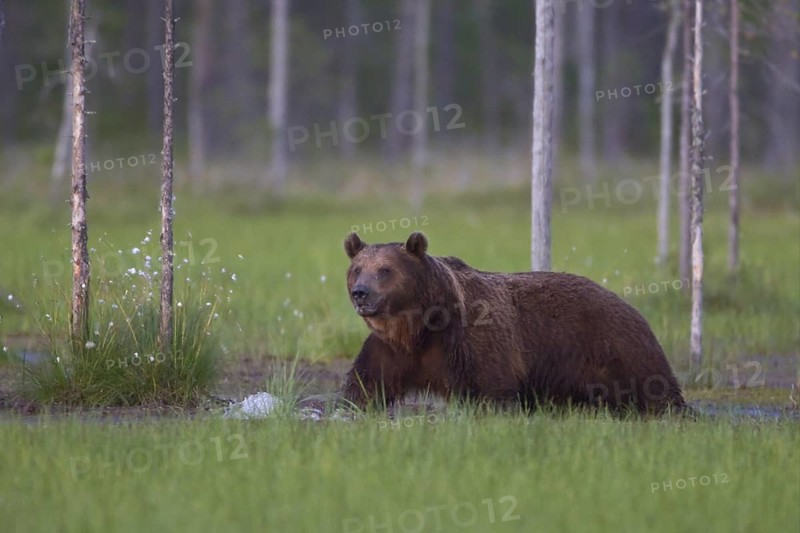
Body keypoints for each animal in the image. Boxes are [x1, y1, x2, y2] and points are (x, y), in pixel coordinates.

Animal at [341, 231, 687, 414]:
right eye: (357, 269)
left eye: (385, 270)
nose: (361, 293)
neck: (419, 328)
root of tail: (630, 305)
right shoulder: (391, 351)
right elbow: (365, 386)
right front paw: (351, 410)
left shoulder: (472, 341)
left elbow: (492, 390)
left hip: (613, 346)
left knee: (653, 385)